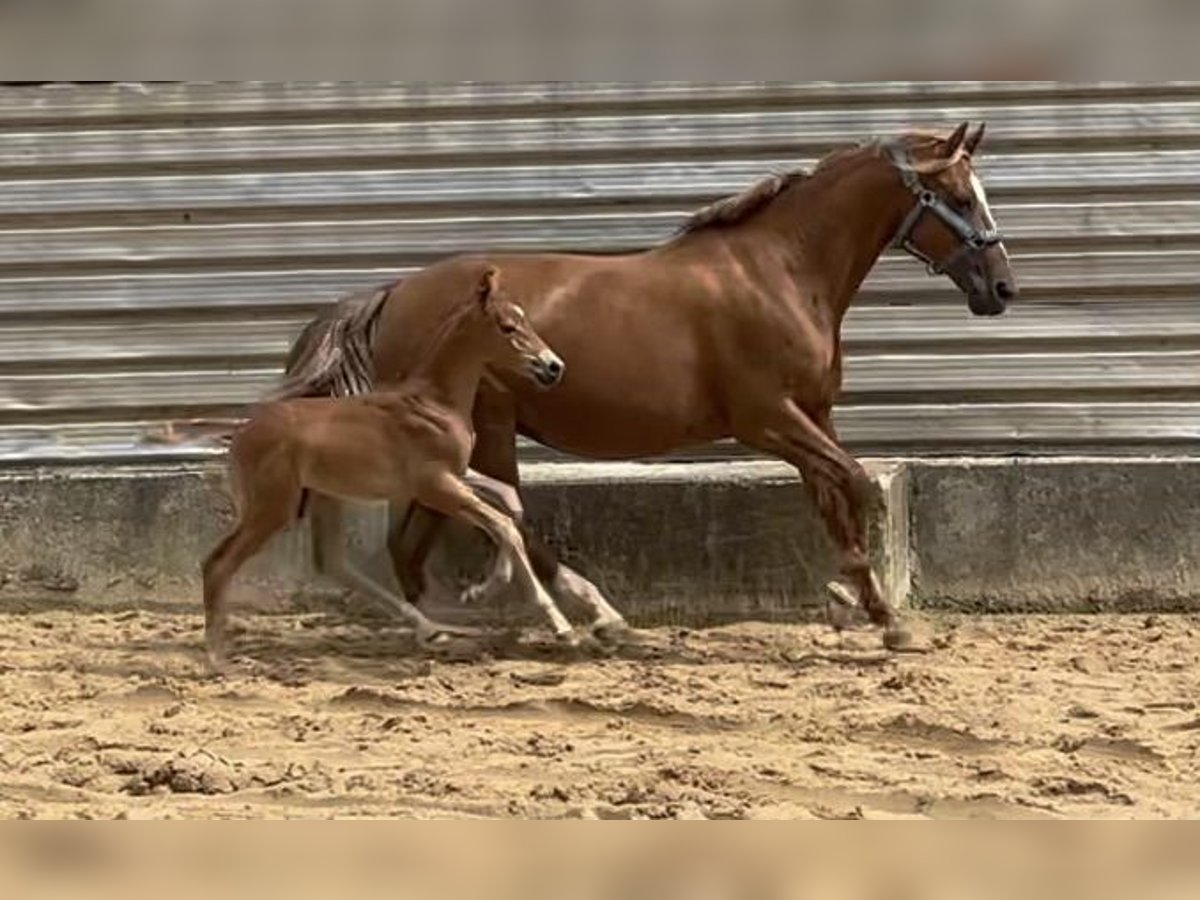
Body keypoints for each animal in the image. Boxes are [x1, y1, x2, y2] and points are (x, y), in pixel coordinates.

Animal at [200, 264, 566, 672]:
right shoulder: (434, 485)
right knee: (218, 563)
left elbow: (509, 506)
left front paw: (481, 588)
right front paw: (560, 623)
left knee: (331, 562)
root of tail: (242, 433)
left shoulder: (453, 476)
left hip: (322, 498)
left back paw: (432, 628)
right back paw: (216, 657)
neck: (435, 402)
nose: (553, 366)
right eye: (507, 327)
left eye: (524, 319)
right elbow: (501, 522)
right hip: (273, 508)